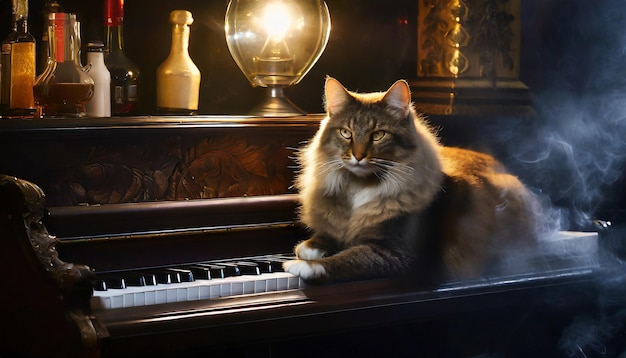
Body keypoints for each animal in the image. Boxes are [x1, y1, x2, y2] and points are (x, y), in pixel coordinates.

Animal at [280, 77, 540, 284]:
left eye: (378, 135)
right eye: (346, 133)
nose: (358, 156)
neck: (359, 187)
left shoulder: (395, 252)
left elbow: (348, 259)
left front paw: (301, 266)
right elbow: (329, 236)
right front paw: (311, 247)